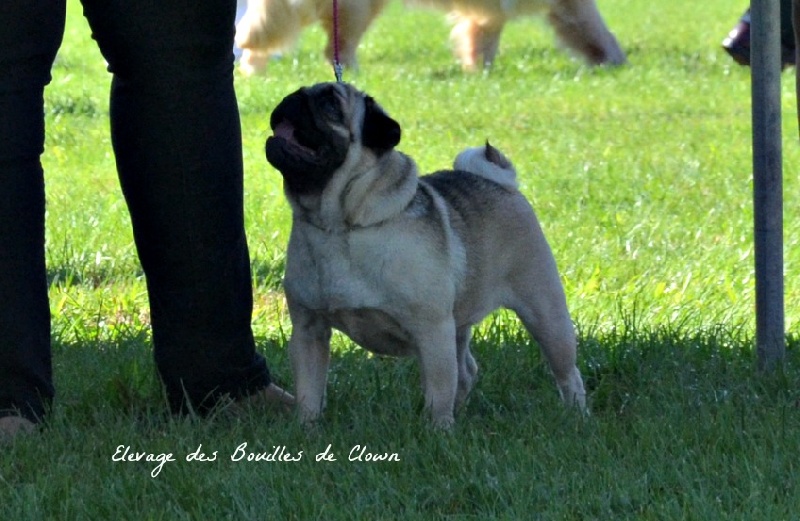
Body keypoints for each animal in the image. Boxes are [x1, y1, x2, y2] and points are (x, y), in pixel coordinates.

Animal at [265, 82, 586, 428]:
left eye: (330, 105)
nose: (293, 98)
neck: (340, 226)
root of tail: (501, 183)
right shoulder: (308, 331)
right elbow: (309, 392)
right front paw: (306, 429)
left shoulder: (432, 332)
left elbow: (438, 392)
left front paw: (438, 431)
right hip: (460, 325)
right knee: (466, 372)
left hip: (545, 314)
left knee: (568, 373)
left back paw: (577, 416)